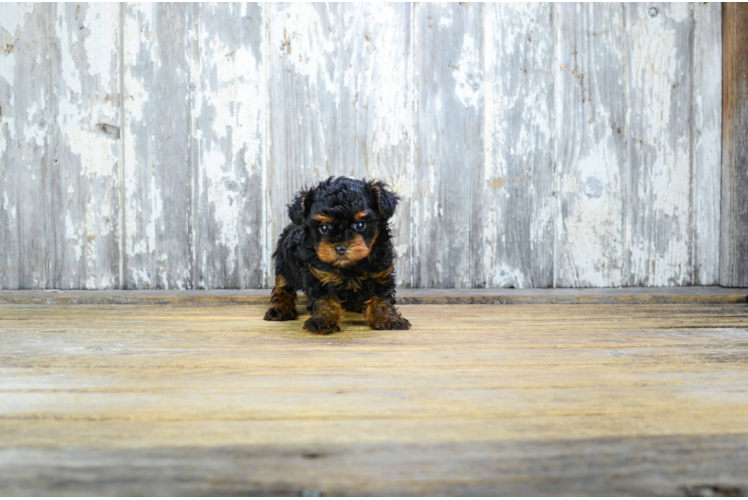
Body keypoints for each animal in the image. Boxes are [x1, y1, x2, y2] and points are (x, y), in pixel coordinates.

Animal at [266, 178, 412, 334]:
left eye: (359, 225)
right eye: (324, 227)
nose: (340, 248)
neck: (350, 266)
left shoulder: (380, 271)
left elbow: (381, 297)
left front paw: (388, 318)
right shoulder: (319, 275)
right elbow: (324, 299)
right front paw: (323, 320)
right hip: (285, 261)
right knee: (282, 285)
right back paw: (279, 308)